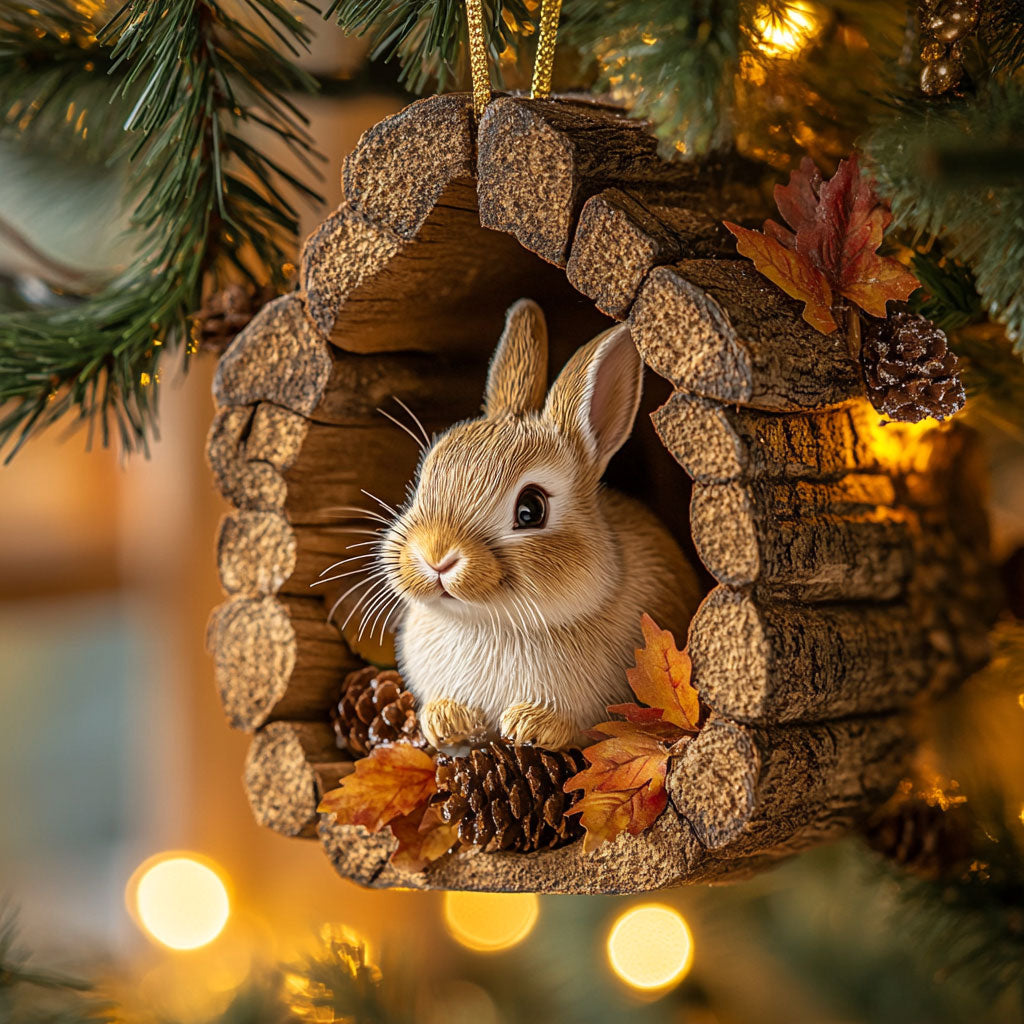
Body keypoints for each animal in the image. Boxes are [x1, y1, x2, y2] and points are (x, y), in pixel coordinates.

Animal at [369, 298, 702, 750]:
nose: (435, 556)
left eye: (531, 510)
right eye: (424, 478)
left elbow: (583, 730)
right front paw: (447, 720)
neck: (492, 623)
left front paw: (530, 724)